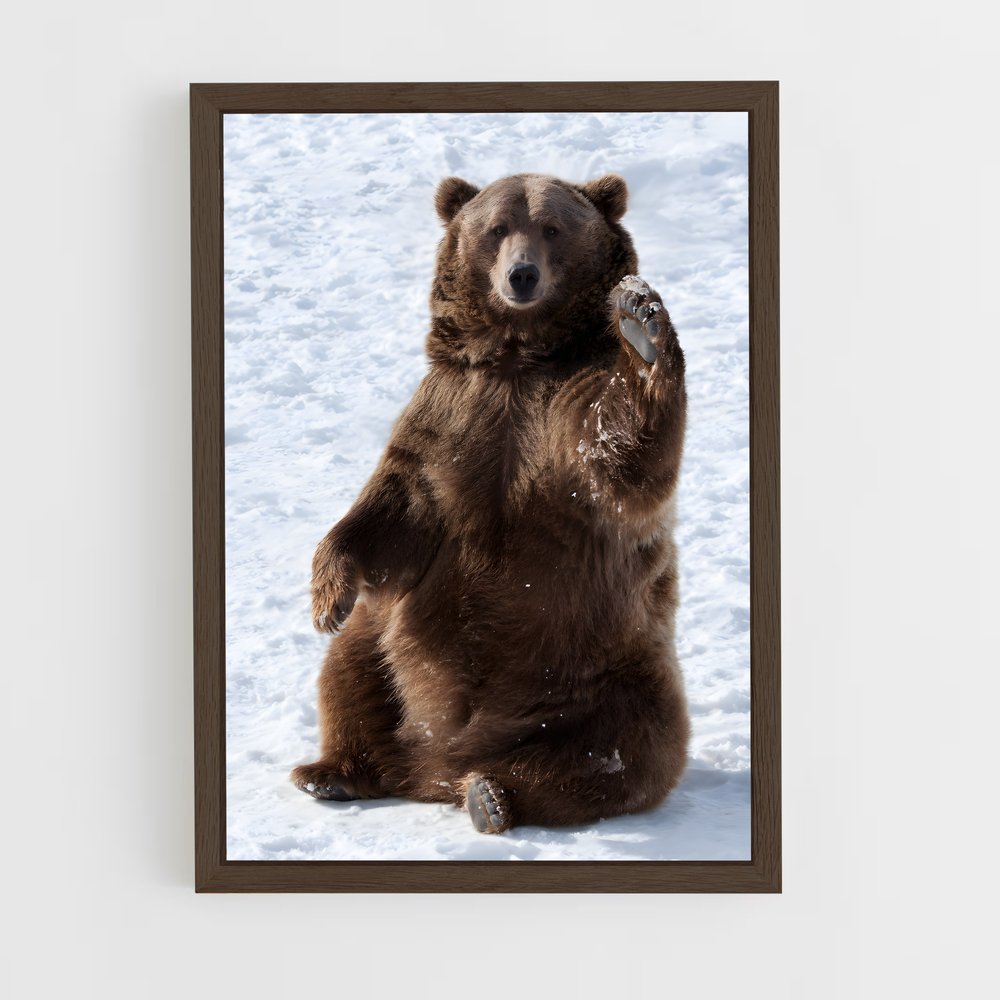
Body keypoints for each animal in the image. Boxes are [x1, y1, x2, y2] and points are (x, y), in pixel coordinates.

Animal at [291, 172, 690, 834]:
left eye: (551, 227)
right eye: (497, 227)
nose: (521, 275)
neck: (517, 356)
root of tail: (435, 766)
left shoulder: (563, 408)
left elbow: (621, 457)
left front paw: (640, 322)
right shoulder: (451, 411)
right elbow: (394, 506)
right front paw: (327, 597)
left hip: (607, 671)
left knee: (626, 749)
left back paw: (493, 795)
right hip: (386, 646)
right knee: (350, 673)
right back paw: (333, 771)